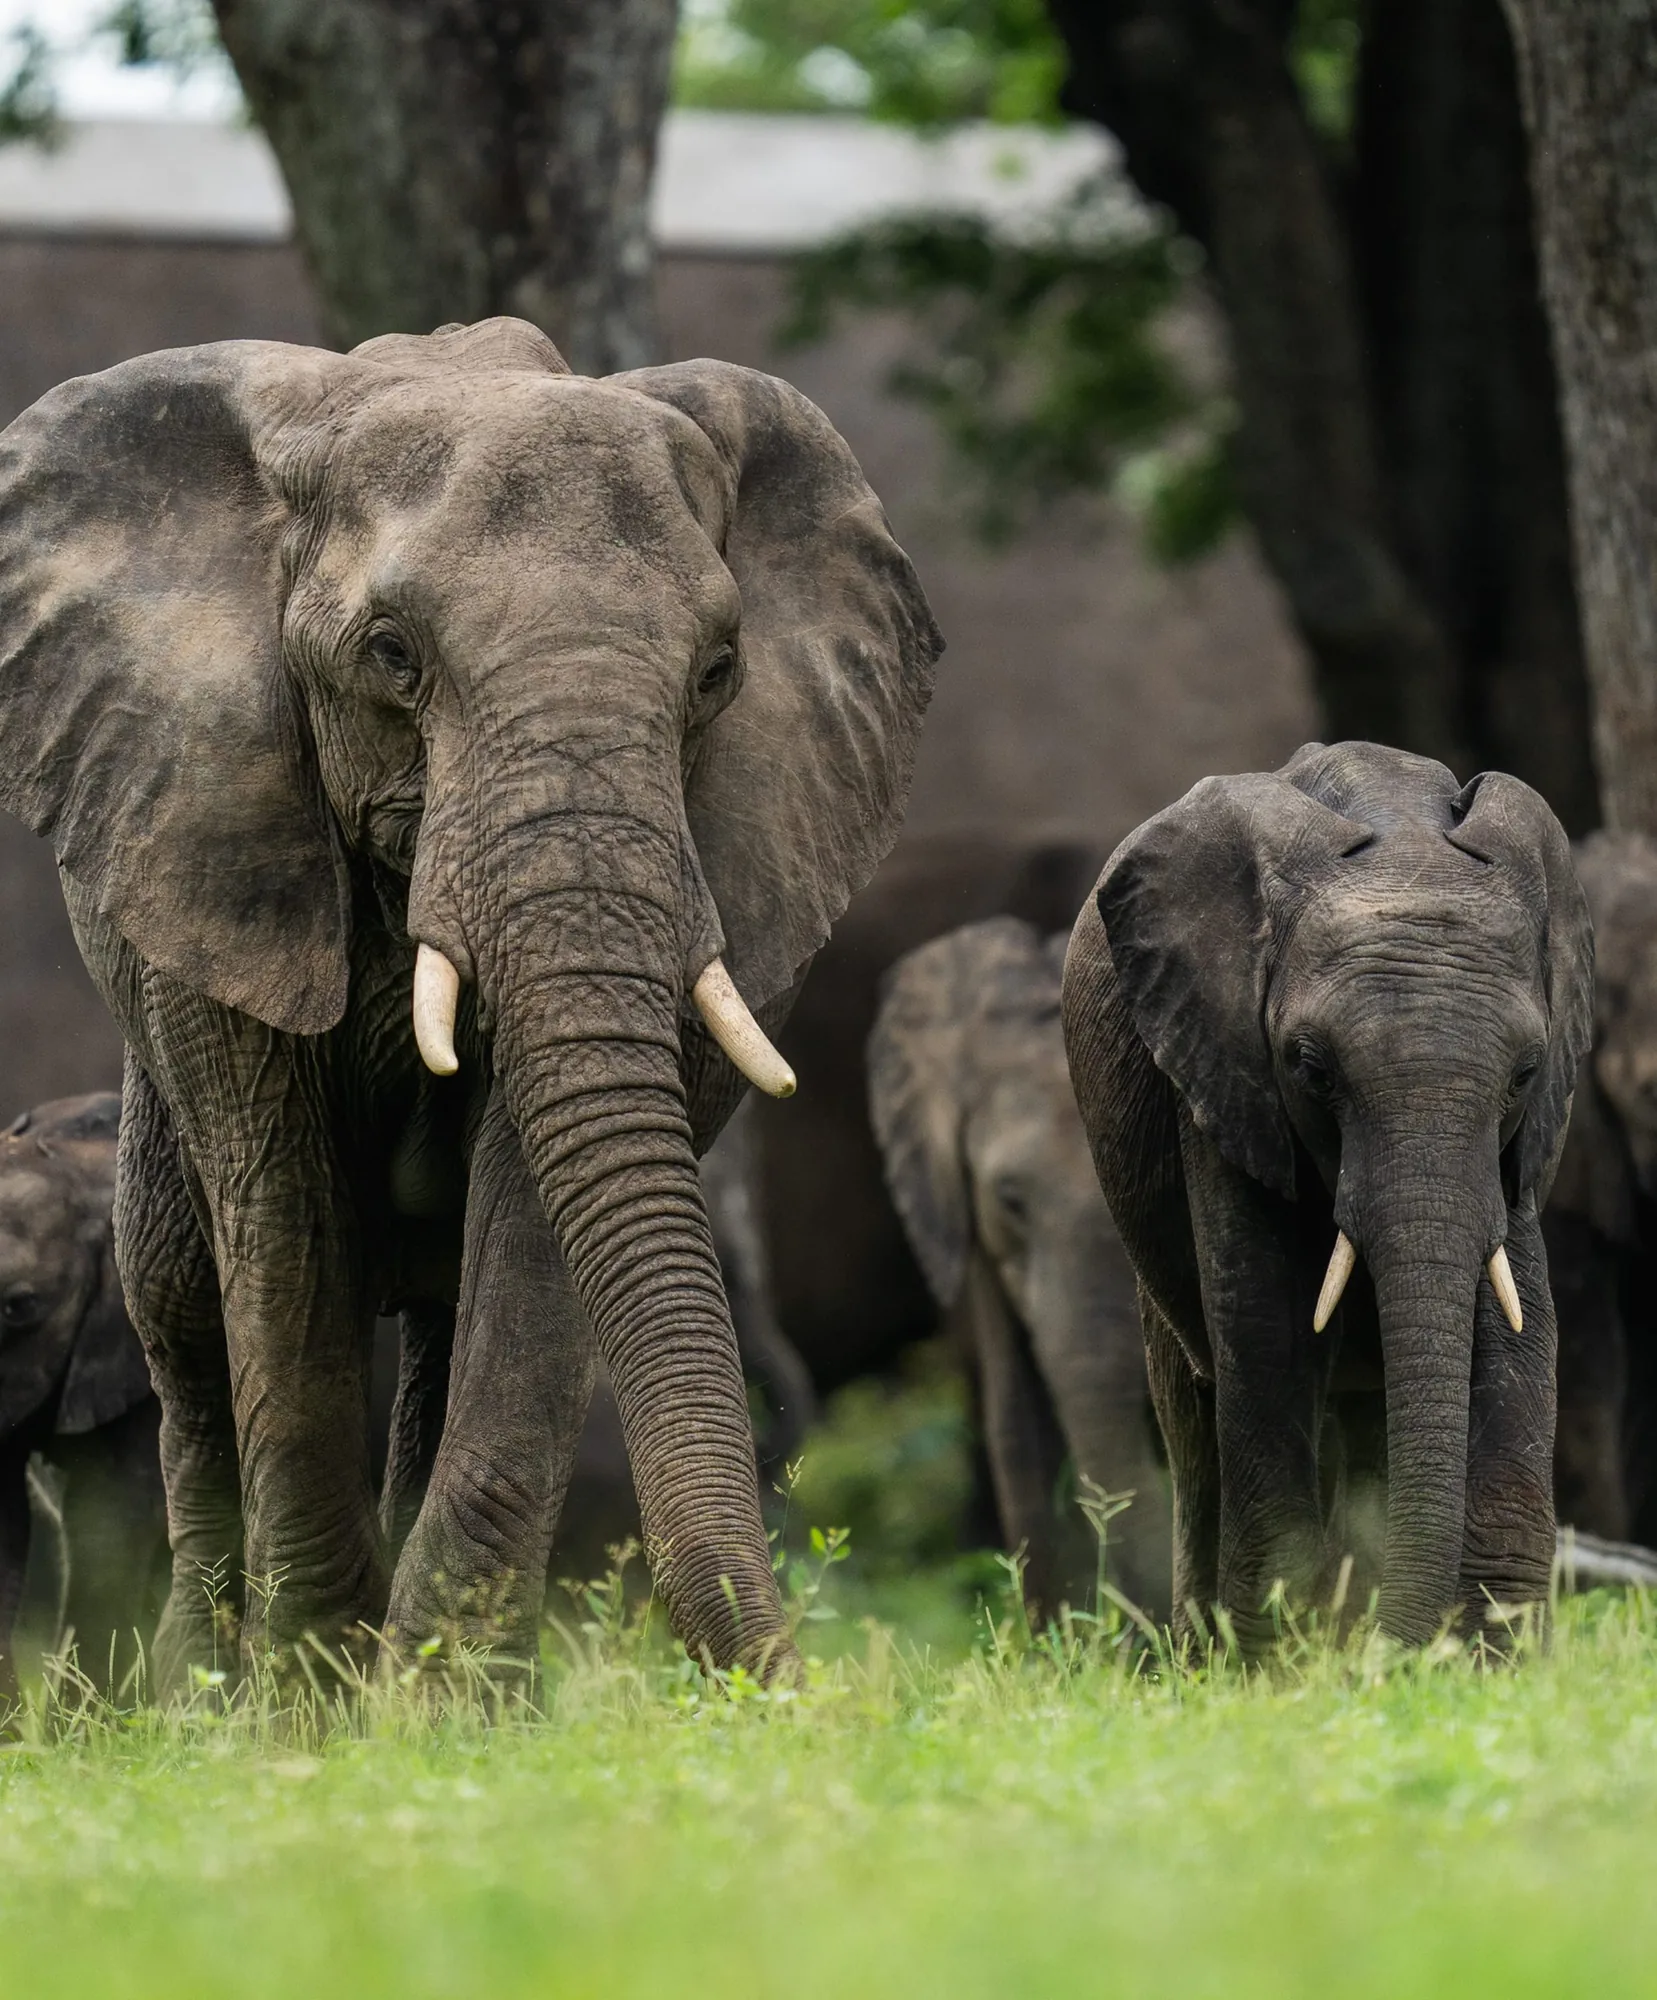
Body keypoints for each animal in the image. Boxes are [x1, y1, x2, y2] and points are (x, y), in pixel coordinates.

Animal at [1061, 741, 1592, 1650]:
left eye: (1524, 1073)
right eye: (1310, 1069)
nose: (1393, 1660)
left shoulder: (1513, 1152)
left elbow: (1517, 1327)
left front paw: (1493, 1656)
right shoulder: (1220, 1073)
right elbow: (1267, 1324)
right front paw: (1284, 1654)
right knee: (1197, 1411)